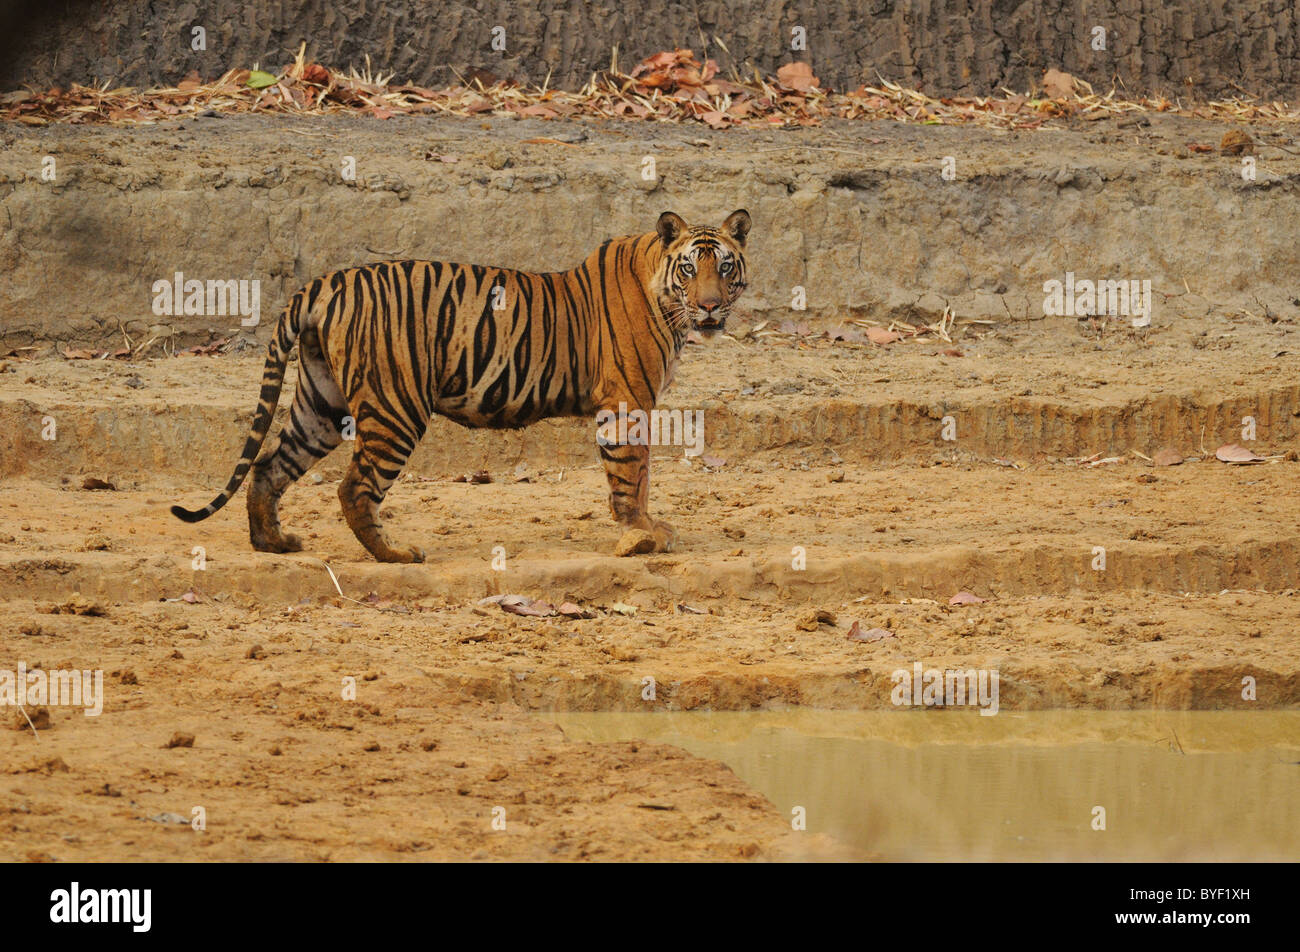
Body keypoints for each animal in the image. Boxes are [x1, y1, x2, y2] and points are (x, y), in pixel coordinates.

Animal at [167, 210, 754, 564]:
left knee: (269, 466)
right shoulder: (628, 401)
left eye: (725, 267)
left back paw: (274, 543)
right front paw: (640, 537)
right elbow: (630, 476)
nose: (709, 307)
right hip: (395, 407)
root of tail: (322, 282)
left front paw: (651, 529)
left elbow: (644, 475)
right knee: (354, 488)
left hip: (322, 403)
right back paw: (396, 556)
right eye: (689, 269)